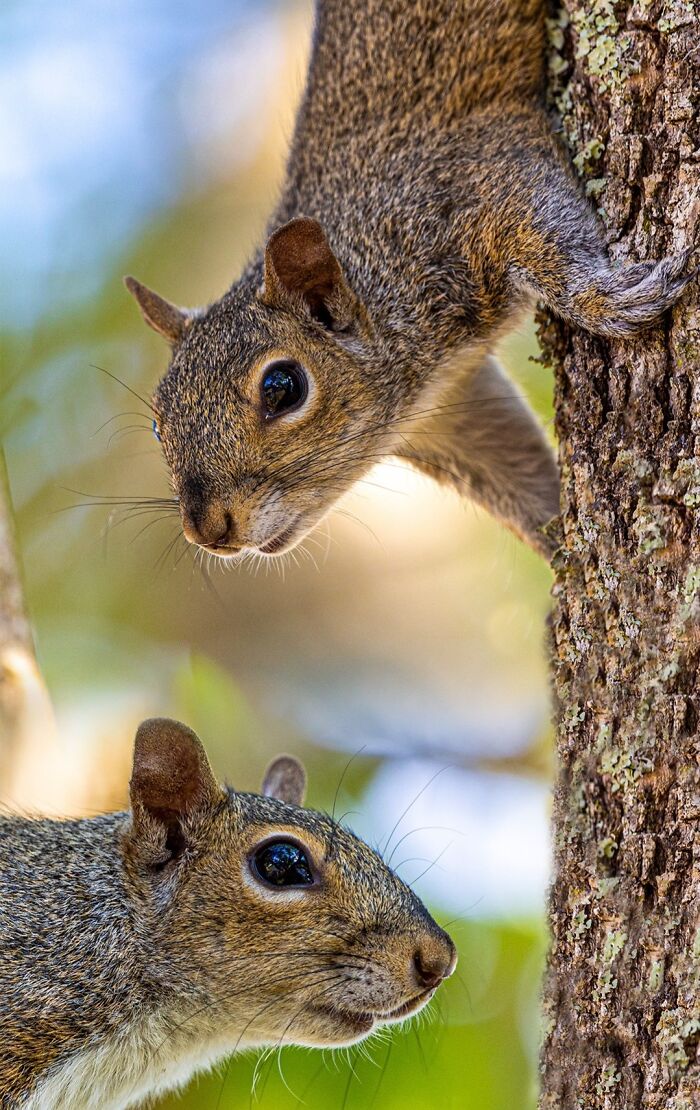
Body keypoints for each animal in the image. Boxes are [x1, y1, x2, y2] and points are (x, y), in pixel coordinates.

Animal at [125, 0, 694, 562]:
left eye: (283, 387)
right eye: (157, 421)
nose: (206, 531)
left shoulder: (480, 167)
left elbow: (548, 228)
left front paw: (609, 299)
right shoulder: (448, 416)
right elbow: (518, 471)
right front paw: (563, 545)